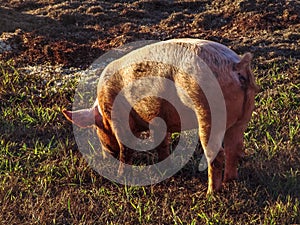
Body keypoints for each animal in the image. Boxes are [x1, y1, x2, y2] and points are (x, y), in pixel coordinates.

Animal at [62, 38, 258, 193]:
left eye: (98, 128)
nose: (106, 156)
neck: (103, 111)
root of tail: (236, 65)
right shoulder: (159, 120)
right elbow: (162, 145)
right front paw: (166, 169)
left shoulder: (118, 117)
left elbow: (126, 147)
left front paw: (121, 176)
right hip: (244, 115)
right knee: (235, 149)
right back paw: (230, 181)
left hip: (208, 111)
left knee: (217, 154)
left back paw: (211, 193)